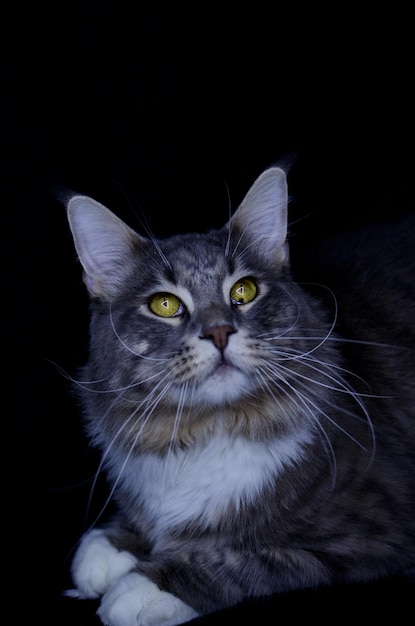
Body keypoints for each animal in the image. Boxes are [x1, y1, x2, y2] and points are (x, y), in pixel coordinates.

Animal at [63, 167, 415, 624]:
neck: (207, 429)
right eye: (164, 304)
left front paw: (145, 588)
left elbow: (247, 558)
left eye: (243, 291)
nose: (218, 331)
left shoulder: (373, 531)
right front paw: (111, 545)